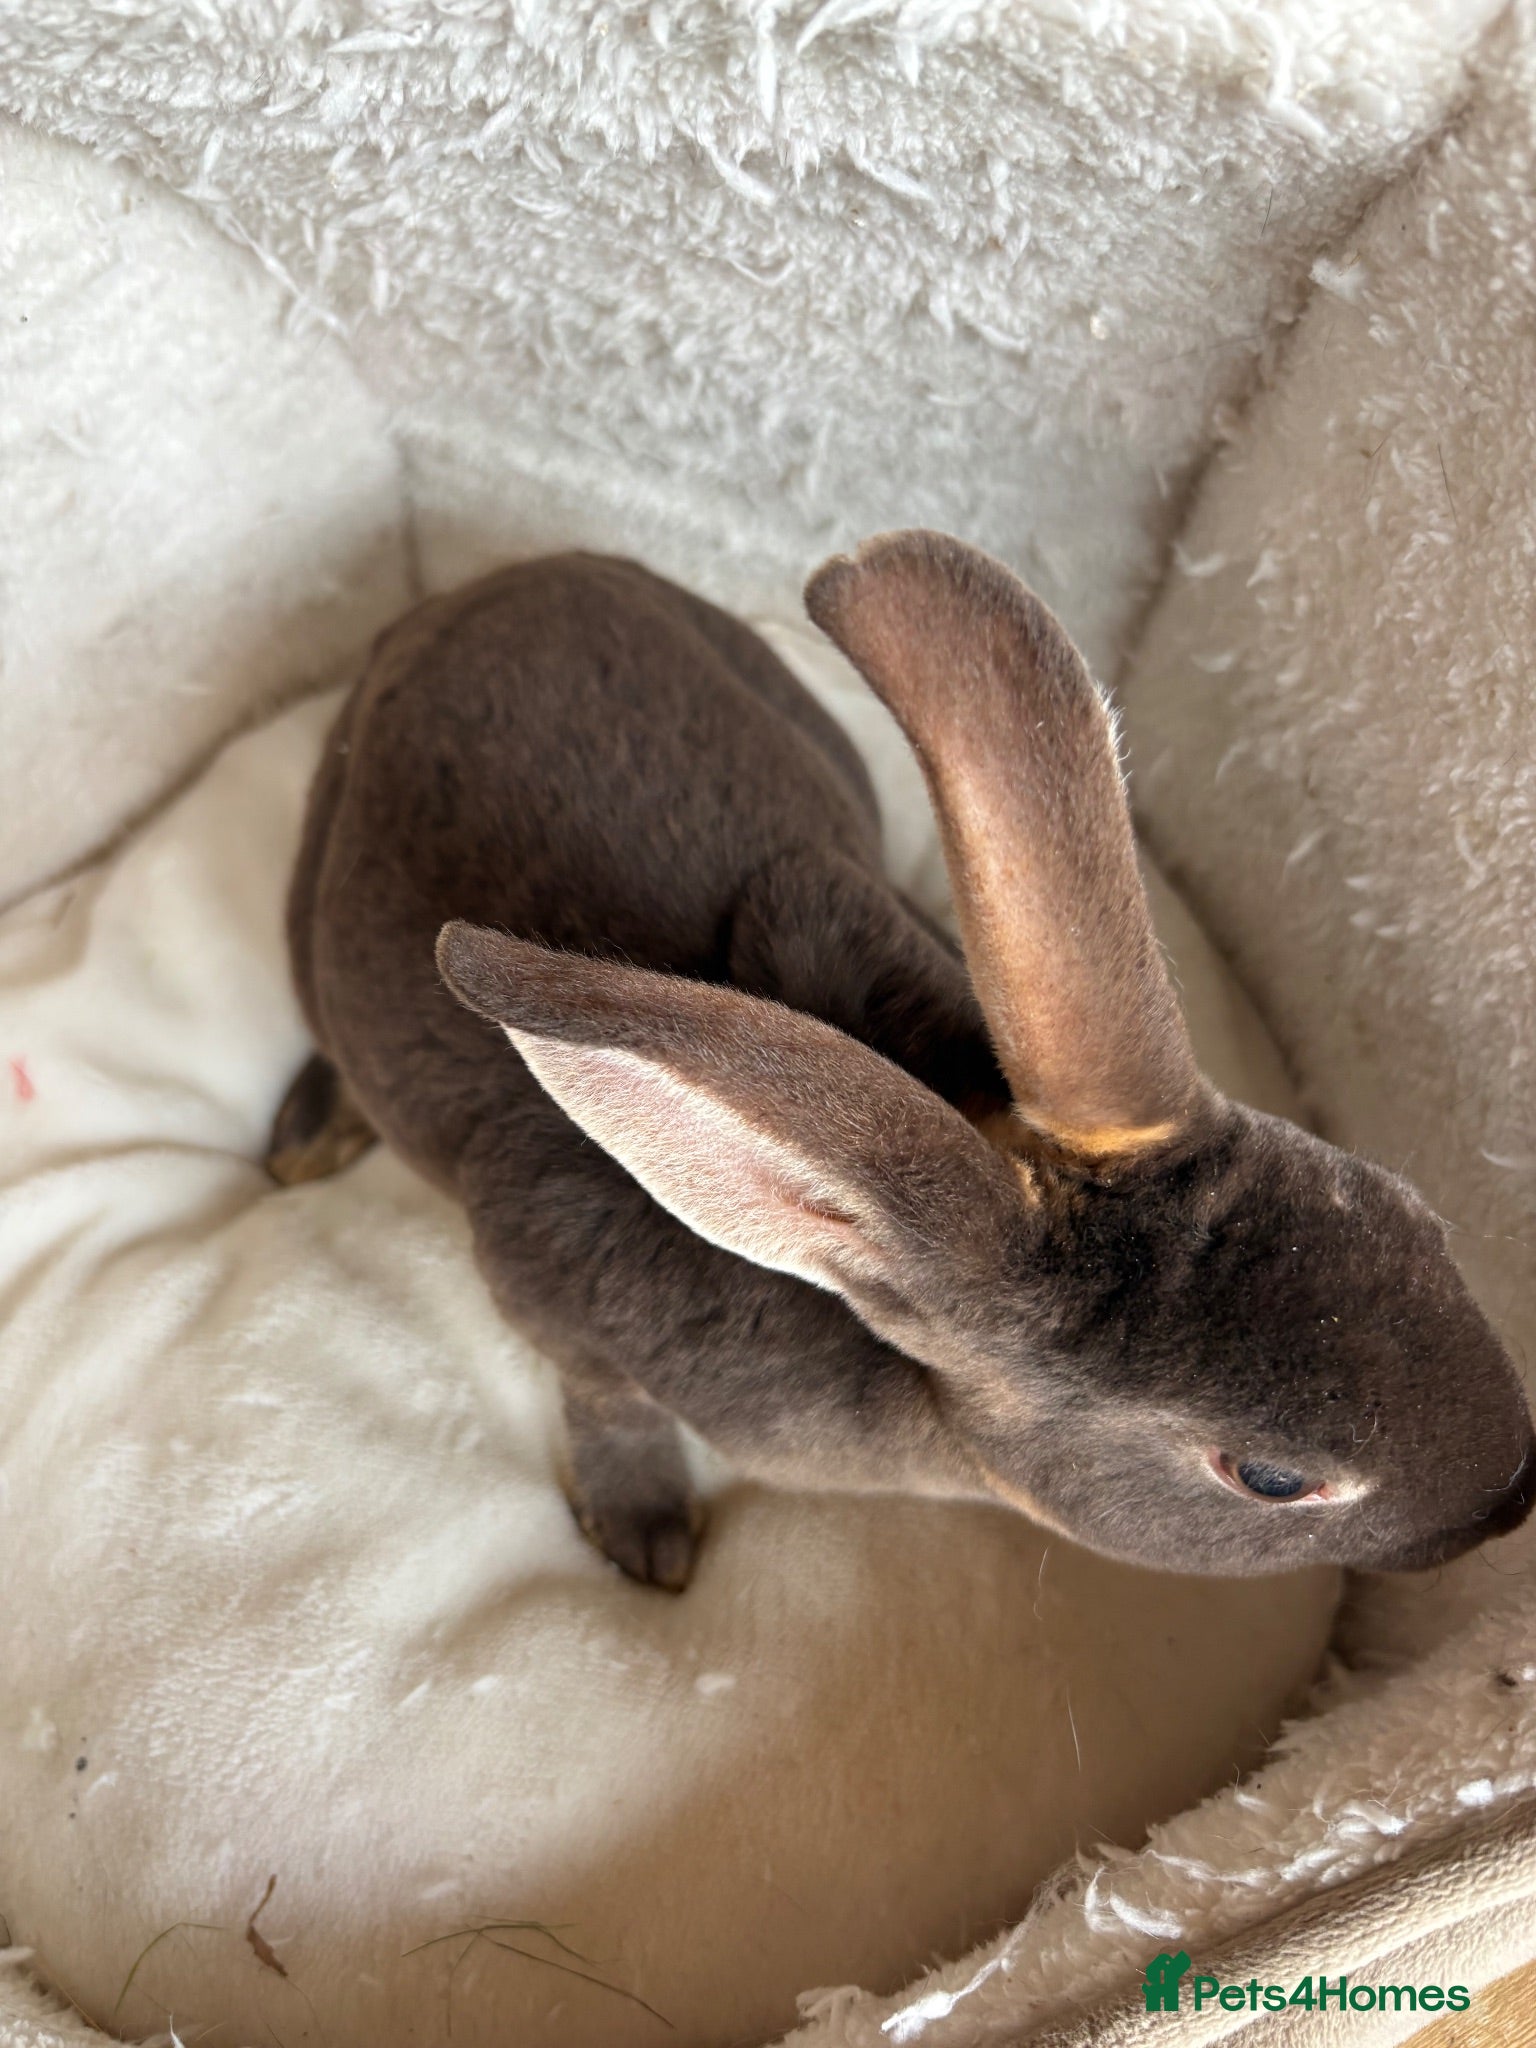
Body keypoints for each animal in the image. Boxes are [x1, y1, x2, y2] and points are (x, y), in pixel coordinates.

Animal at [269, 533, 1534, 1592]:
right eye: (1270, 1476)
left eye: (1415, 1214)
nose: (1514, 1494)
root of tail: (498, 580)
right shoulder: (548, 1286)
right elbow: (603, 1399)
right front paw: (647, 1540)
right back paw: (303, 1141)